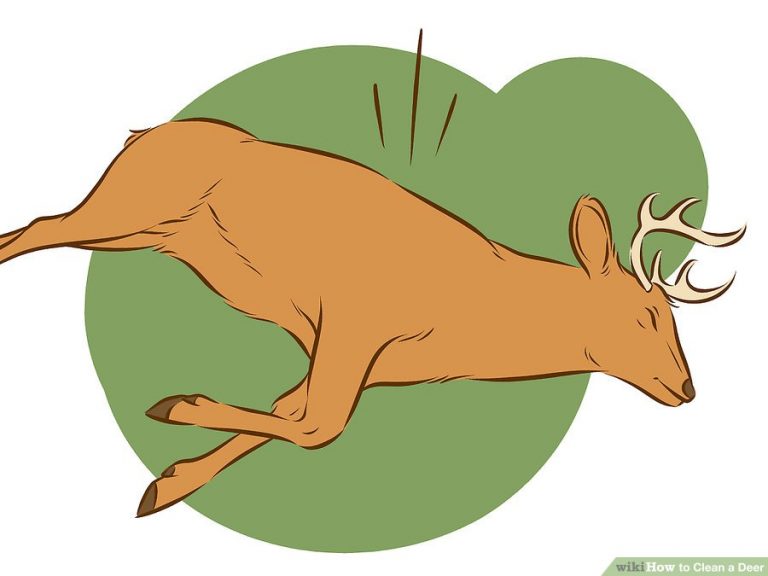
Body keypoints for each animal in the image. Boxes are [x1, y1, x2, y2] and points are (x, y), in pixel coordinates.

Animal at [0, 118, 744, 518]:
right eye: (645, 316)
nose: (687, 389)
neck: (474, 315)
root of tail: (146, 132)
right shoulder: (354, 318)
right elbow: (319, 428)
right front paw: (175, 405)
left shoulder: (366, 362)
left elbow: (291, 411)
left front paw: (168, 484)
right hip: (127, 207)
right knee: (36, 227)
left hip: (140, 230)